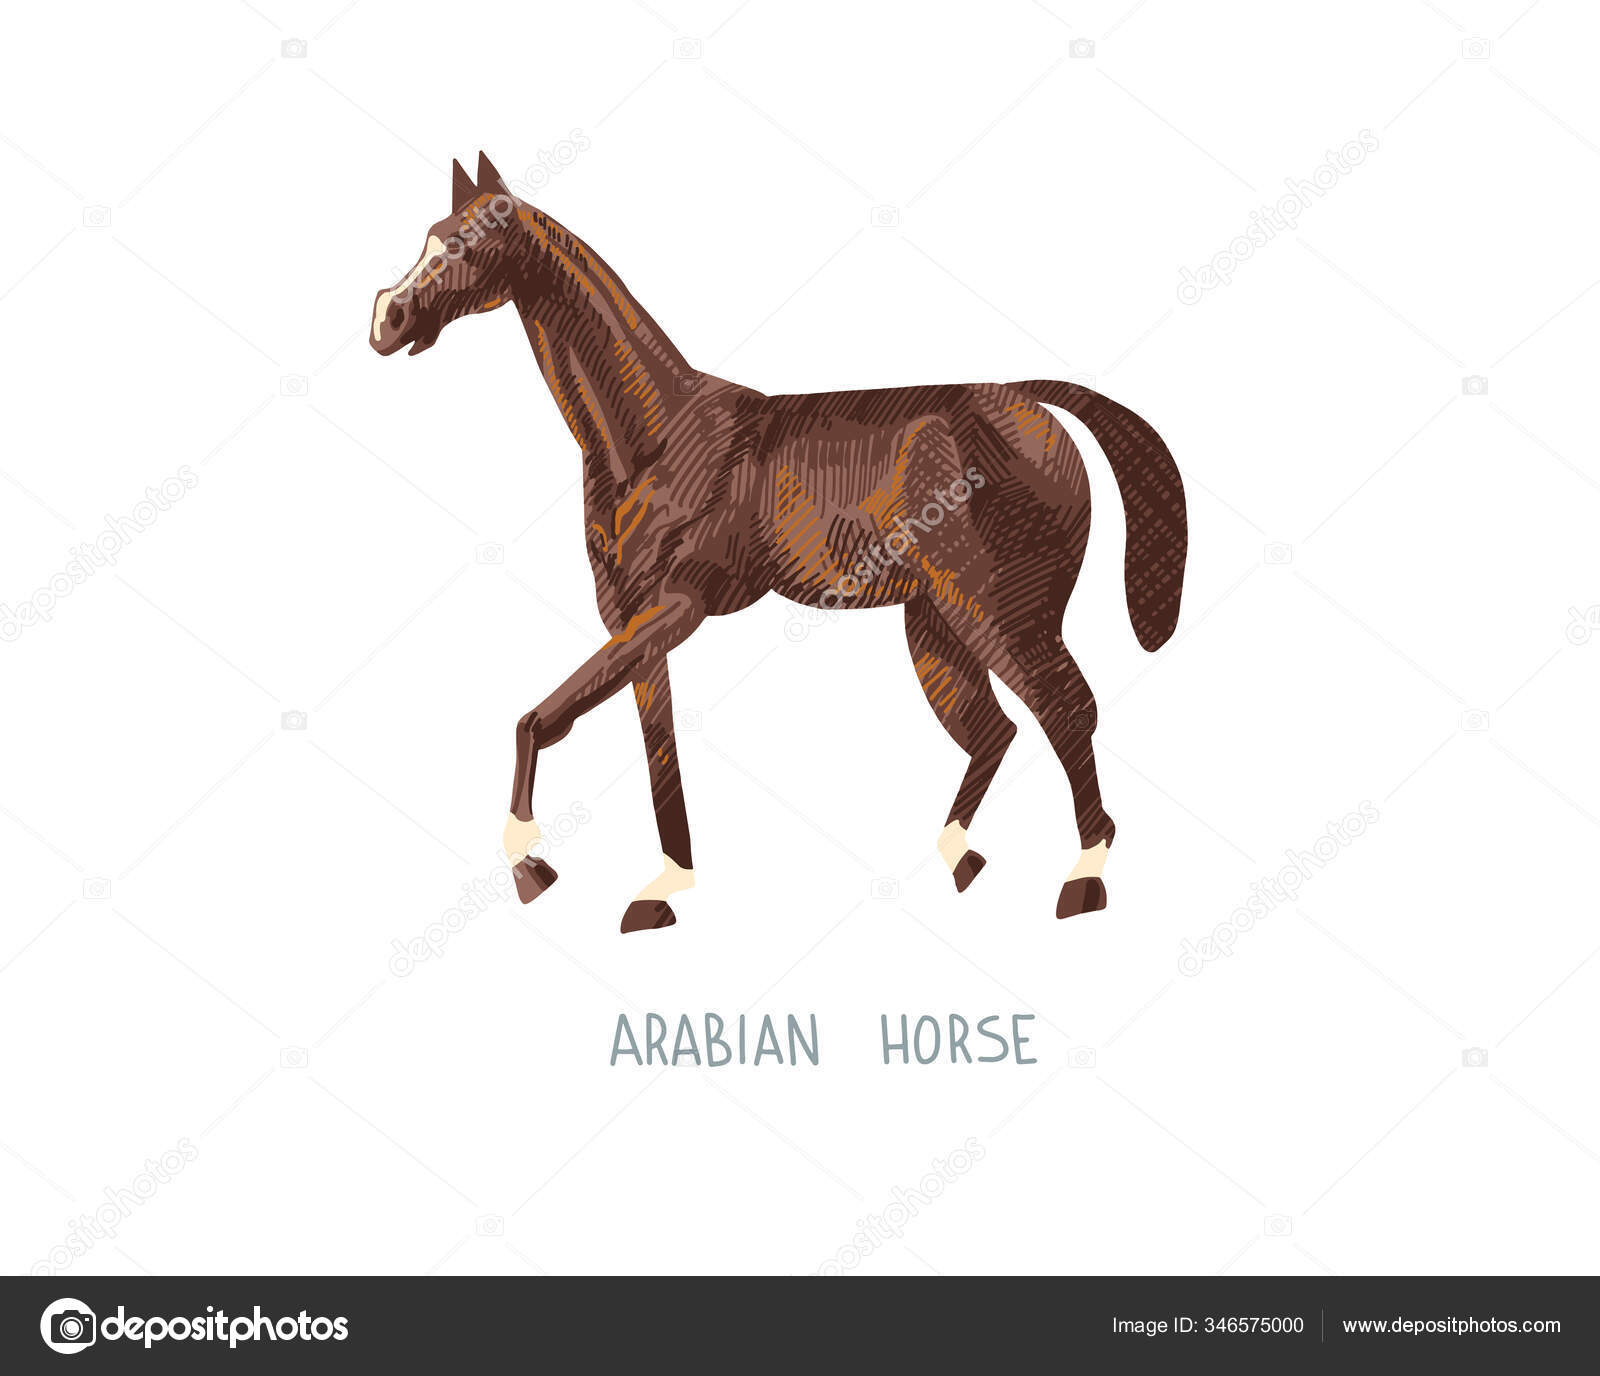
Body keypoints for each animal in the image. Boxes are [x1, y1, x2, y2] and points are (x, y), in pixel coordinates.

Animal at [371, 153, 1187, 934]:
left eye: (470, 241)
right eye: (430, 234)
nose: (387, 317)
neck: (655, 438)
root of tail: (1032, 403)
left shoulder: (679, 605)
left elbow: (542, 719)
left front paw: (530, 866)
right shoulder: (632, 622)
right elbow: (655, 743)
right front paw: (661, 891)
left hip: (1002, 614)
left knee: (1066, 712)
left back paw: (1083, 881)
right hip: (936, 627)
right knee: (994, 731)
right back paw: (960, 862)